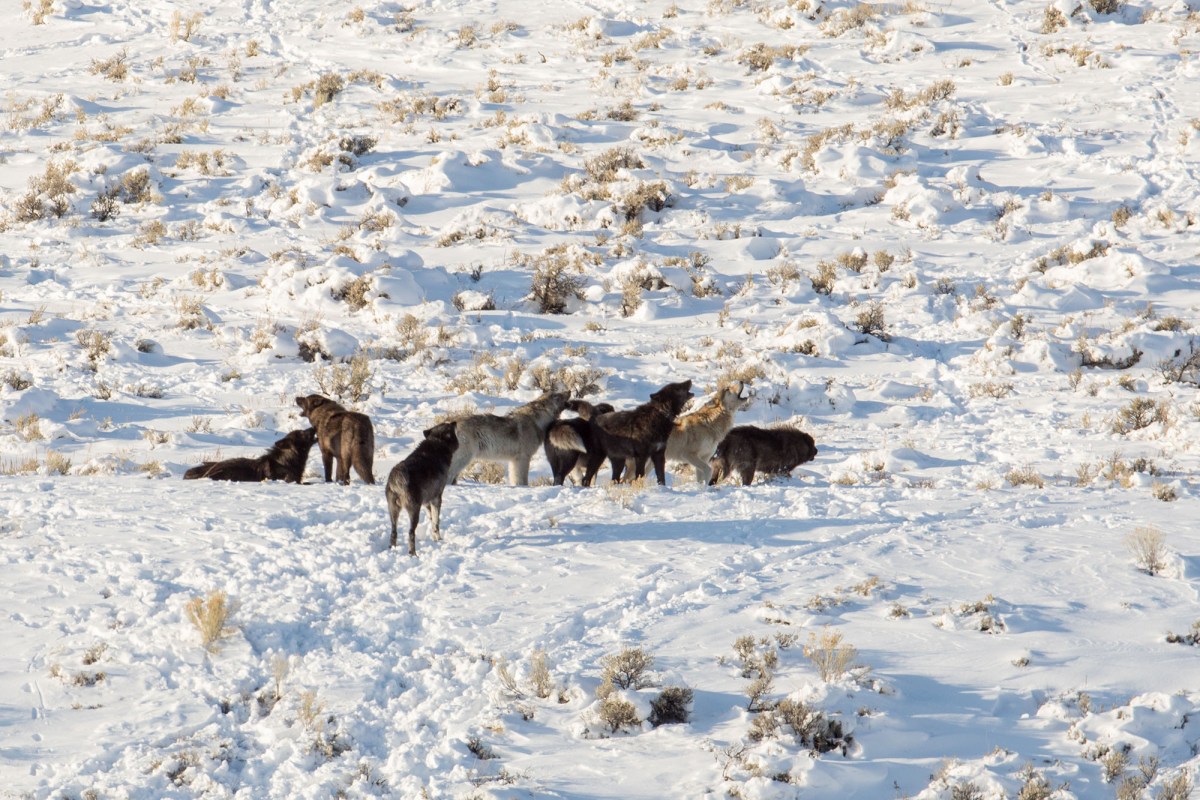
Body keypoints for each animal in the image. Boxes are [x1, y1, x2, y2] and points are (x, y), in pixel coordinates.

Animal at [386, 422, 458, 556]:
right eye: (449, 425)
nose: (455, 422)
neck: (437, 443)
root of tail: (396, 479)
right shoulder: (437, 498)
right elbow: (436, 521)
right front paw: (438, 539)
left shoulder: (426, 501)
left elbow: (431, 518)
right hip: (414, 511)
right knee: (411, 533)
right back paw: (413, 554)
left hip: (393, 510)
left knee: (394, 532)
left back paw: (392, 549)